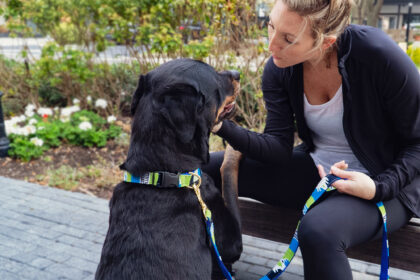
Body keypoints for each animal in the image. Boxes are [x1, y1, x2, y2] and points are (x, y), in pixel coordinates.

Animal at [93, 58, 241, 278]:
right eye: (214, 76)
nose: (237, 73)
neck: (165, 174)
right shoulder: (229, 240)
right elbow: (230, 187)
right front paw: (233, 153)